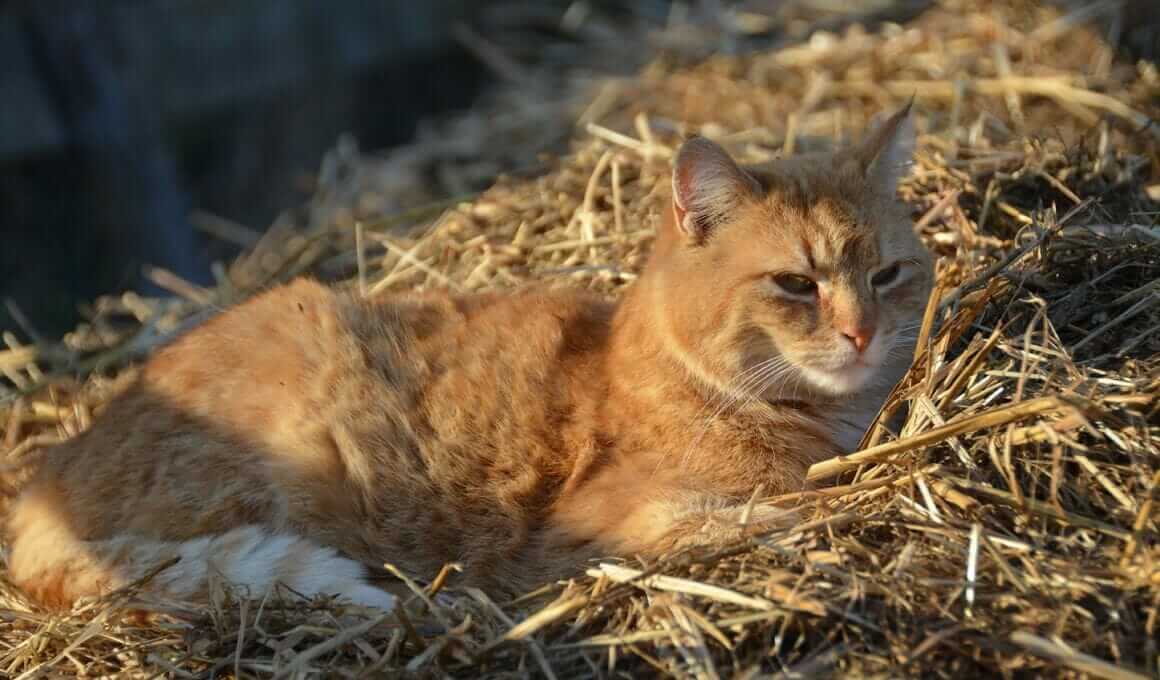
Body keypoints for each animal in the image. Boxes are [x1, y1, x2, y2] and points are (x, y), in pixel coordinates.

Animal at [2, 103, 932, 612]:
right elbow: (783, 510)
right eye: (795, 284)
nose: (860, 334)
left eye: (886, 275)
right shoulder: (604, 527)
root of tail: (46, 475)